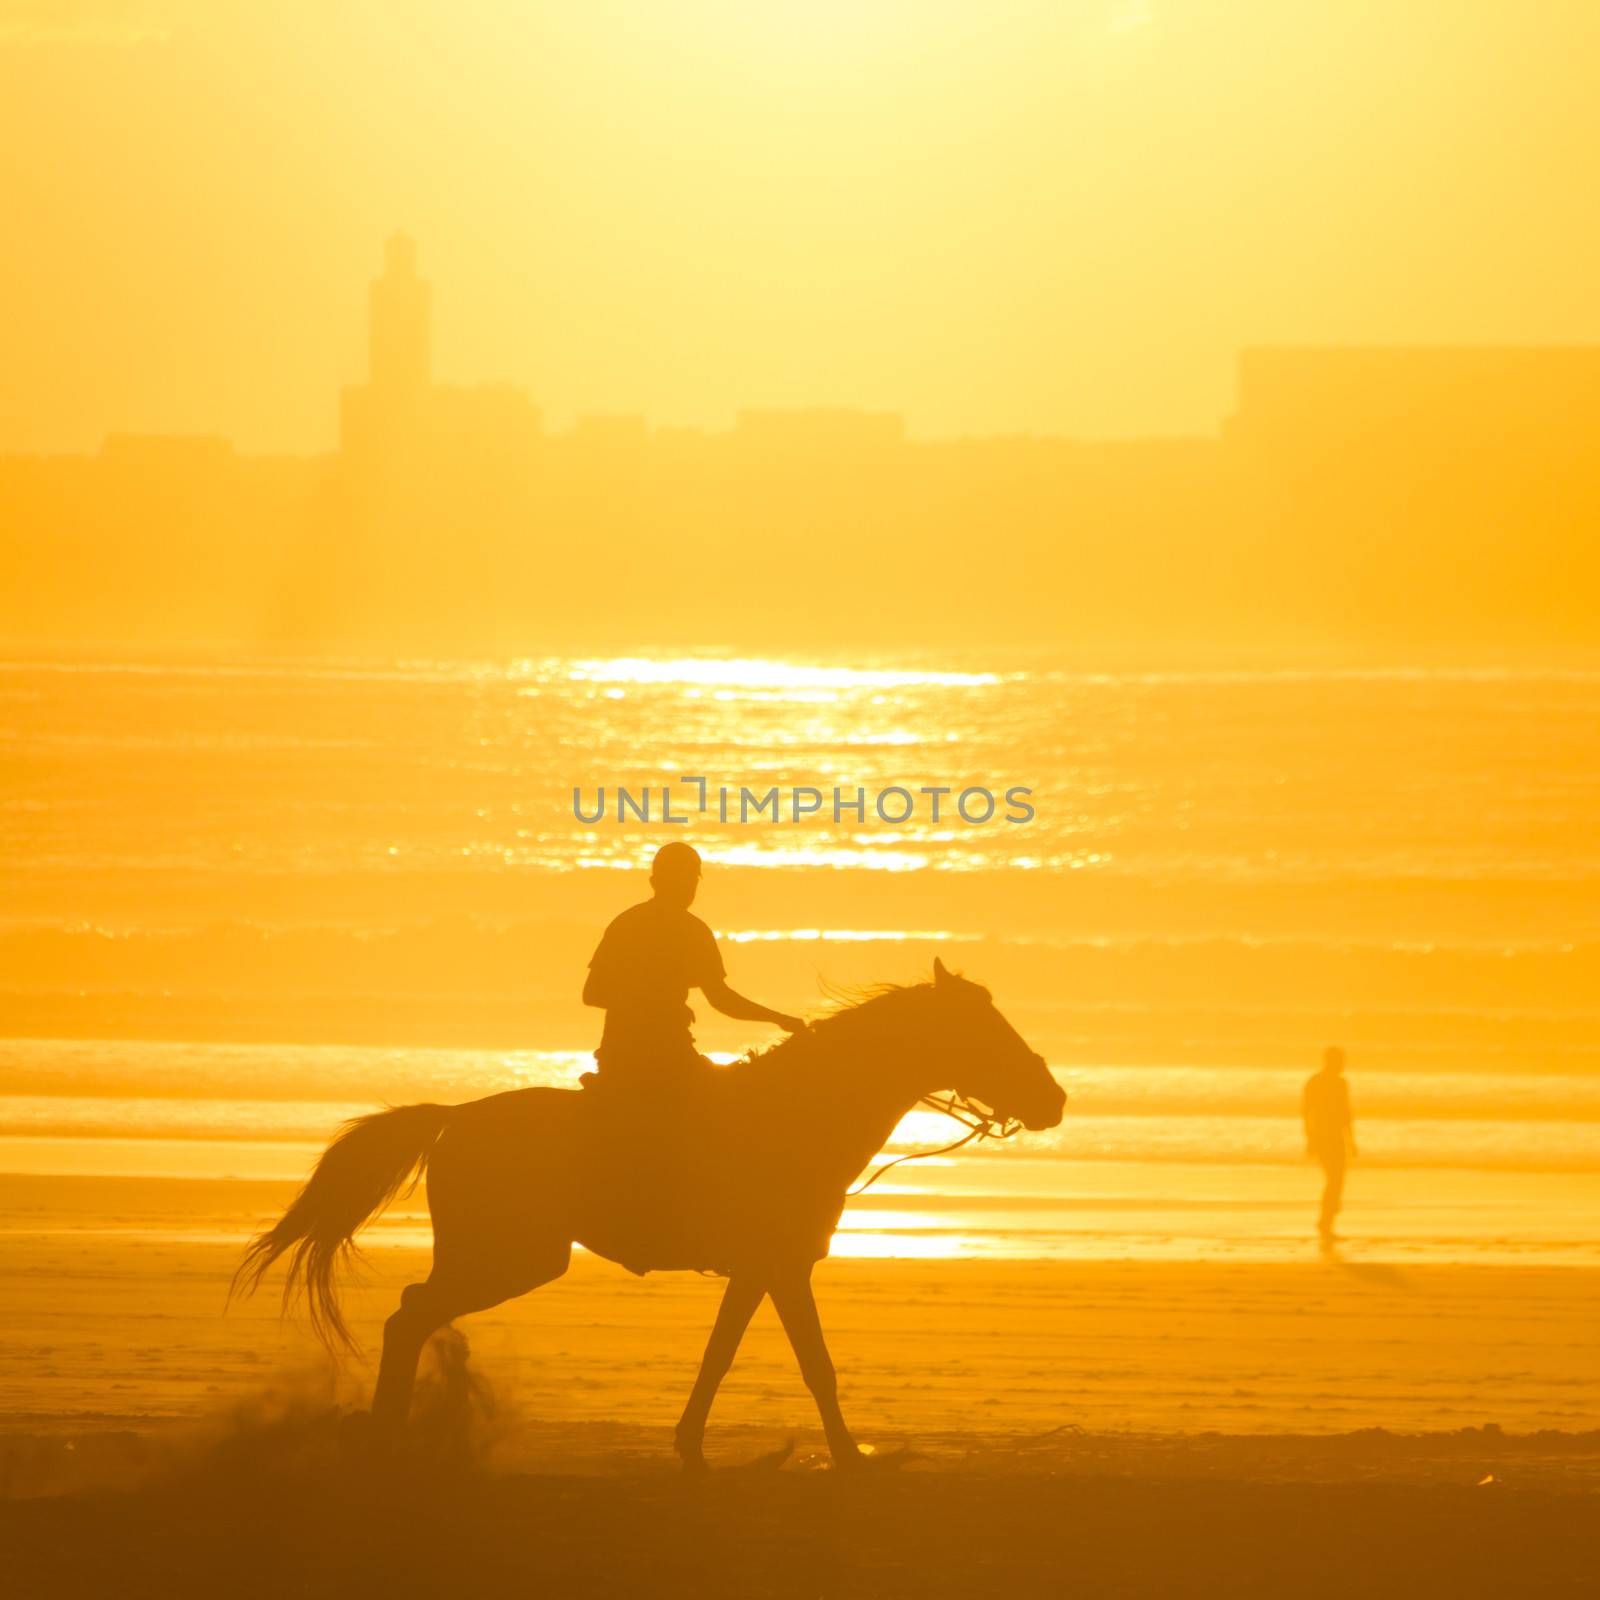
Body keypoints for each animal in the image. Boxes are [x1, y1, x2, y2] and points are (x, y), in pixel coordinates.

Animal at [233, 953, 1062, 1465]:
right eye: (986, 1031)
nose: (1053, 1100)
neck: (804, 1113)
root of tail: (455, 1117)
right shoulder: (785, 1264)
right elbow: (815, 1365)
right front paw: (853, 1457)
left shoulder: (760, 1269)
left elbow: (721, 1356)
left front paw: (693, 1443)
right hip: (513, 1258)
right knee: (409, 1316)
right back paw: (385, 1435)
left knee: (412, 1313)